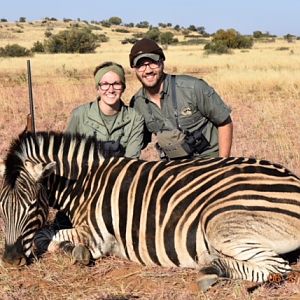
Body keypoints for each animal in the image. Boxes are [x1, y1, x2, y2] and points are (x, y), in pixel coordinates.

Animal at [0, 131, 298, 290]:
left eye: (32, 206)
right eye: (1, 209)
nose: (11, 260)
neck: (87, 184)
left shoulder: (96, 235)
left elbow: (48, 237)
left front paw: (74, 251)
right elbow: (49, 232)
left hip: (219, 221)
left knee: (278, 268)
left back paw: (210, 270)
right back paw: (211, 265)